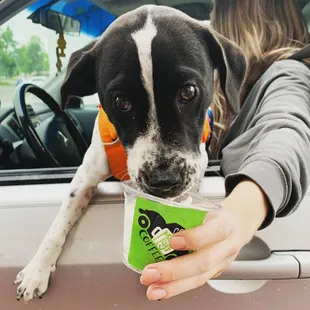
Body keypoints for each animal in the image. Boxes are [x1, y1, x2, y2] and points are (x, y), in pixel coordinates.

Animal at [13, 4, 247, 300]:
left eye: (189, 91)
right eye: (121, 101)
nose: (164, 181)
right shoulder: (86, 174)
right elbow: (61, 219)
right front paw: (37, 269)